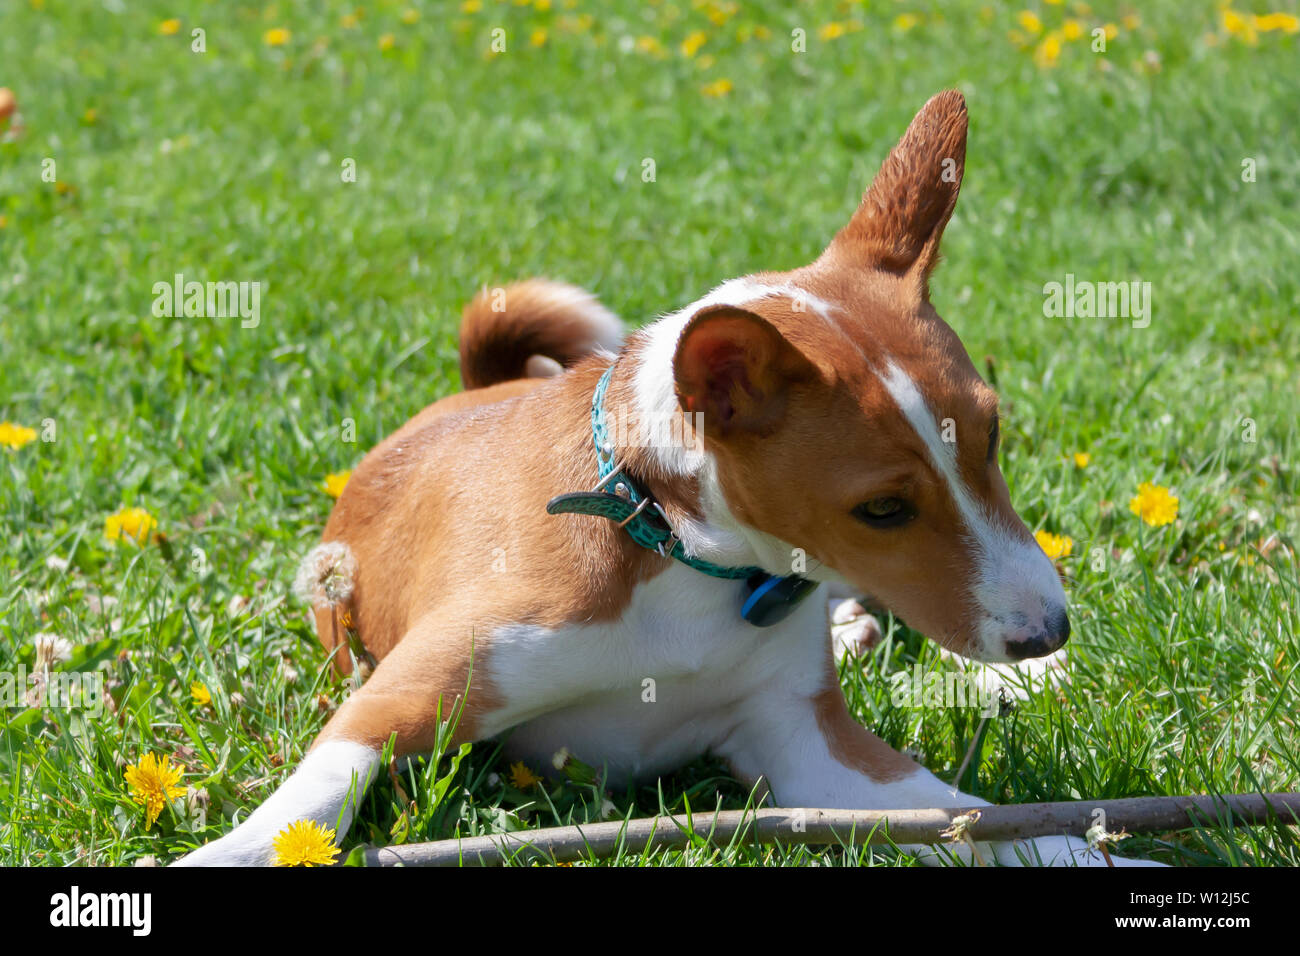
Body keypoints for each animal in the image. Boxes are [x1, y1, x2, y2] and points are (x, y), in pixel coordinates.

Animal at [178, 91, 1164, 868]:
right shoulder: (404, 693)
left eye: (993, 438)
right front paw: (225, 851)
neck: (683, 553)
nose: (1047, 629)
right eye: (881, 508)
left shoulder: (809, 742)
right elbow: (312, 797)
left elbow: (994, 824)